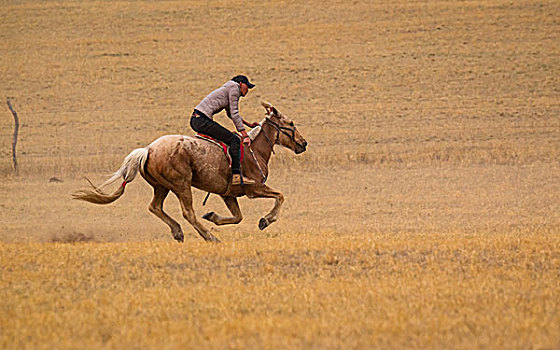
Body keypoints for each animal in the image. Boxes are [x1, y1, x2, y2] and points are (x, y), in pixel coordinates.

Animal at [72, 101, 308, 243]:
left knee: (155, 207)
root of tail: (148, 149)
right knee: (188, 213)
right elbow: (280, 196)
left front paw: (213, 216)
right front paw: (265, 220)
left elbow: (237, 217)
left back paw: (178, 232)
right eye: (290, 123)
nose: (303, 143)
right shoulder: (255, 188)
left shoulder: (228, 194)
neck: (254, 150)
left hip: (162, 186)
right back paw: (209, 237)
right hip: (181, 185)